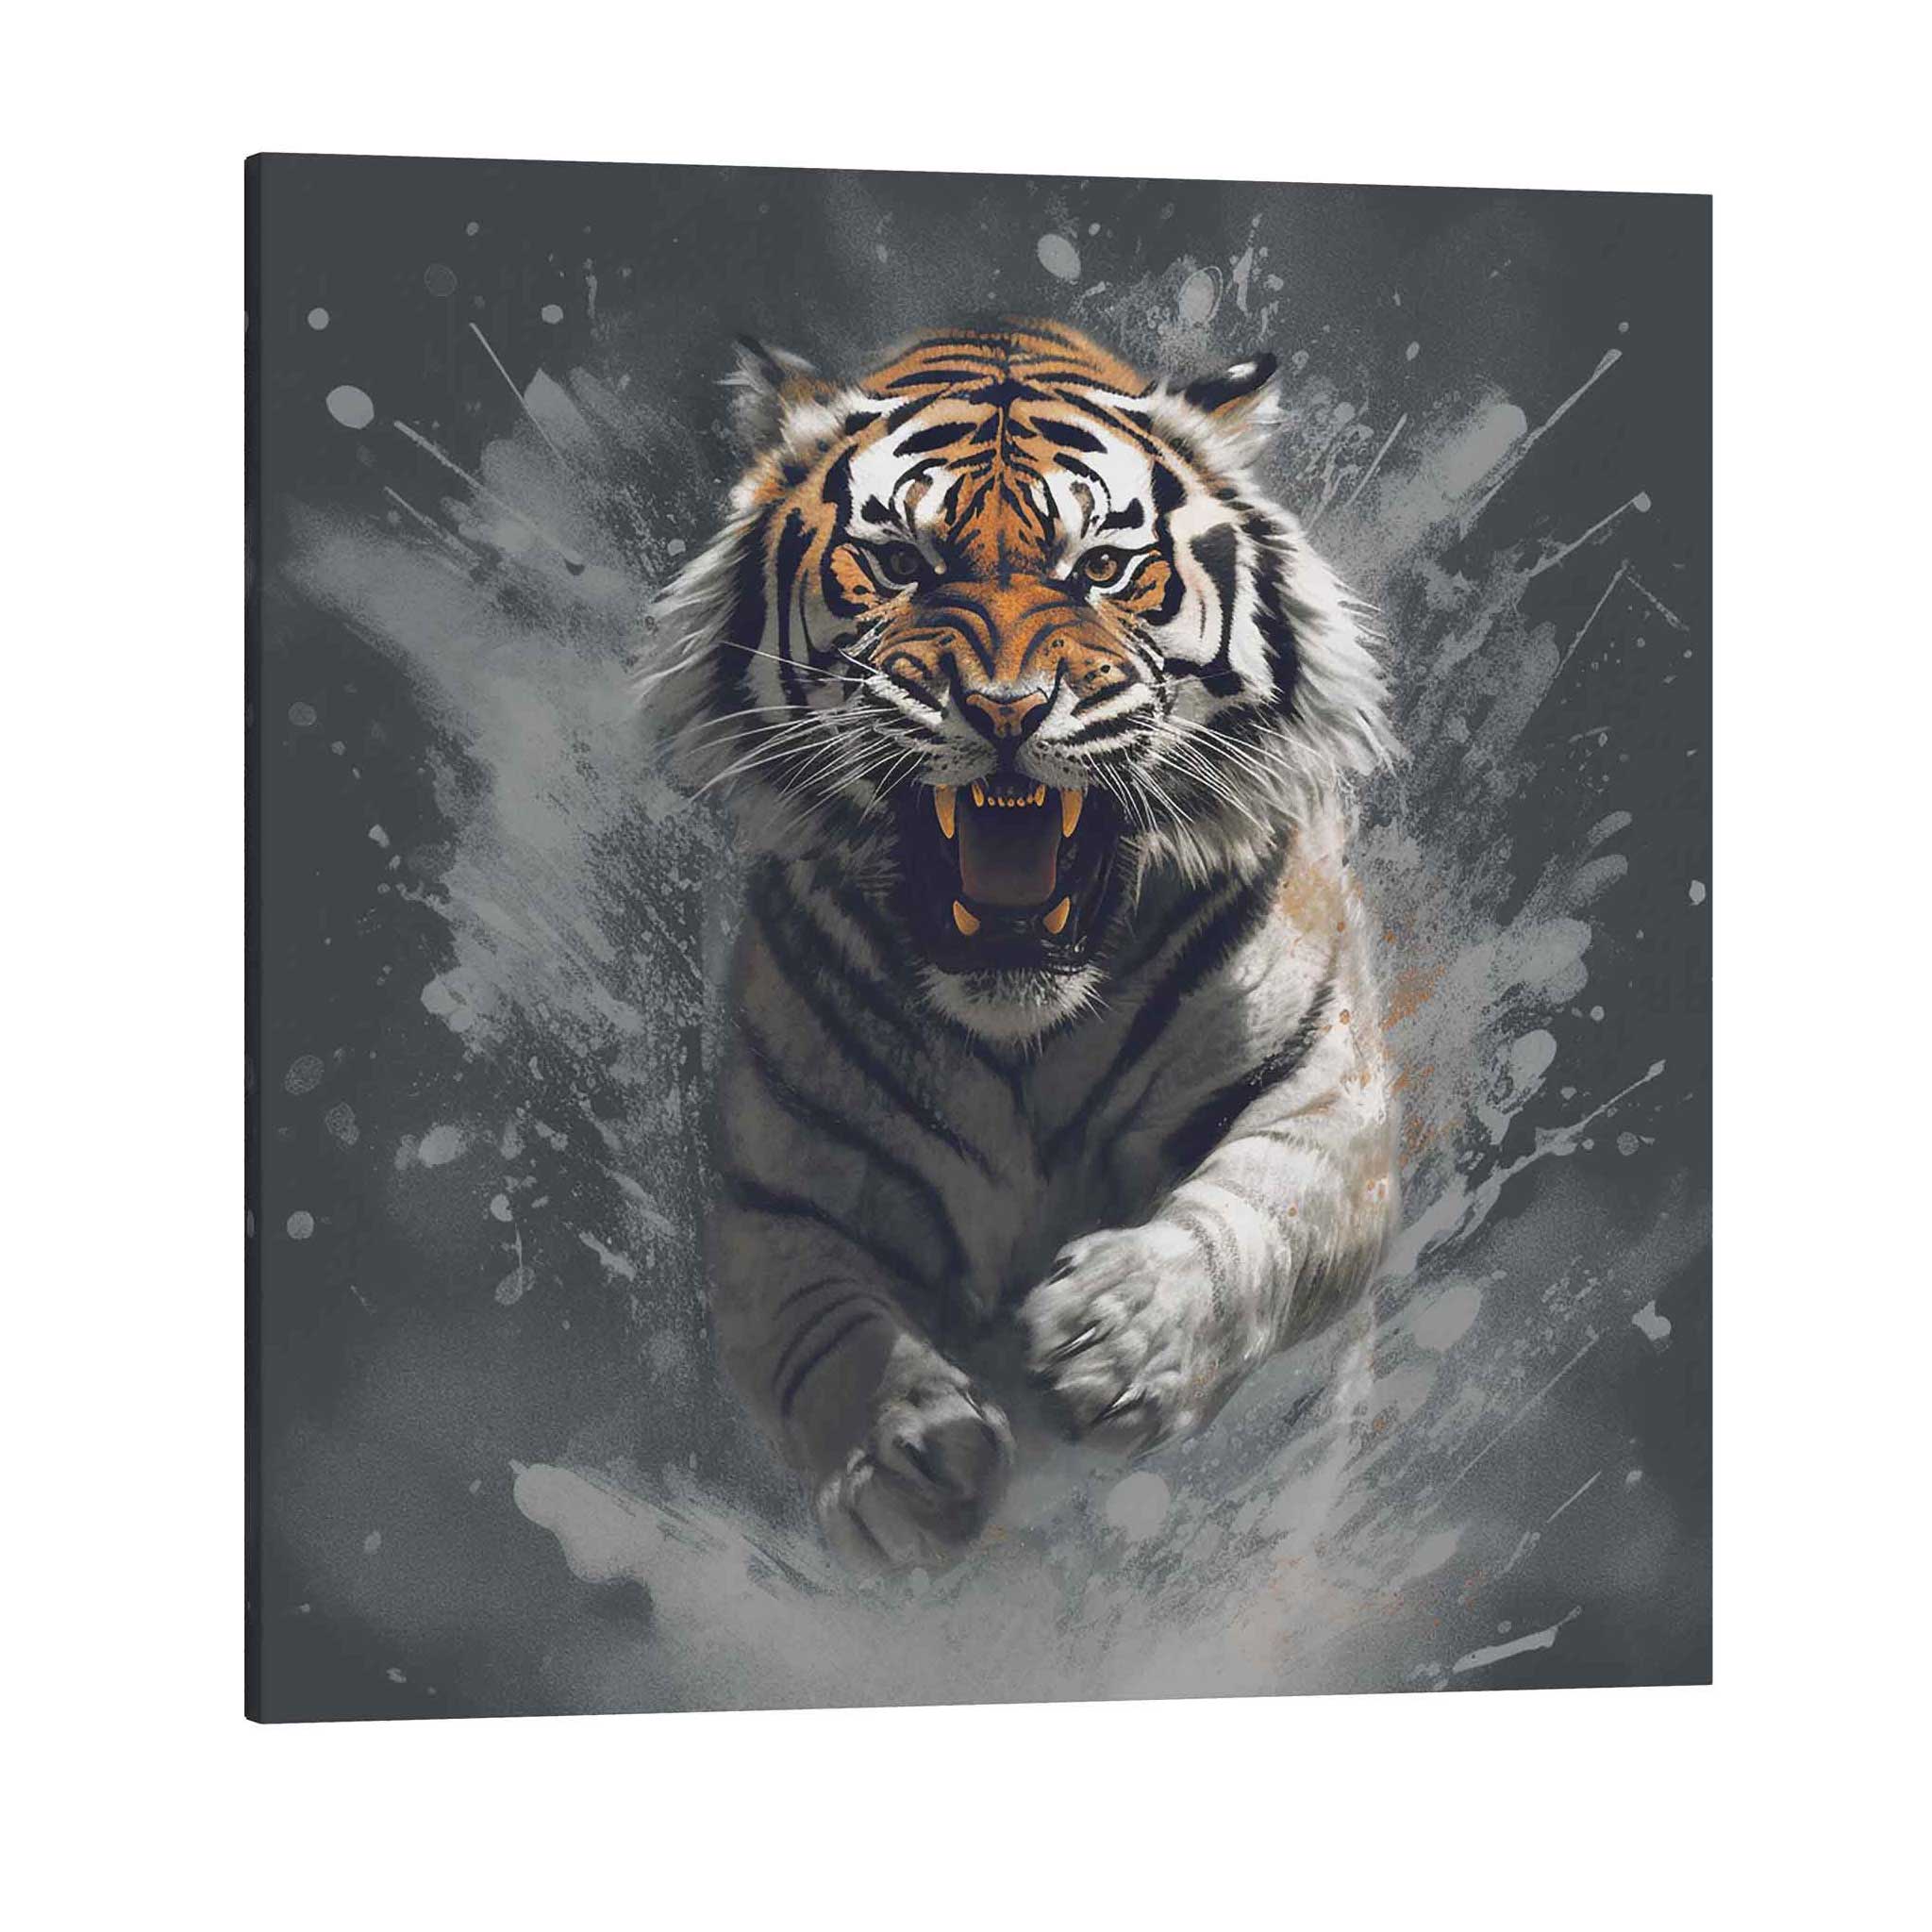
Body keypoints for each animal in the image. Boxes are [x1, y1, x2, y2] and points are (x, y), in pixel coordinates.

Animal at [644, 320, 1398, 1575]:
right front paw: (902, 1448)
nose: (1003, 707)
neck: (1024, 1032)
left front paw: (1116, 1335)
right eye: (899, 562)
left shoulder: (1328, 1093)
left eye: (1101, 567)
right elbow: (819, 1332)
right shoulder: (774, 1201)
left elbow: (1260, 1209)